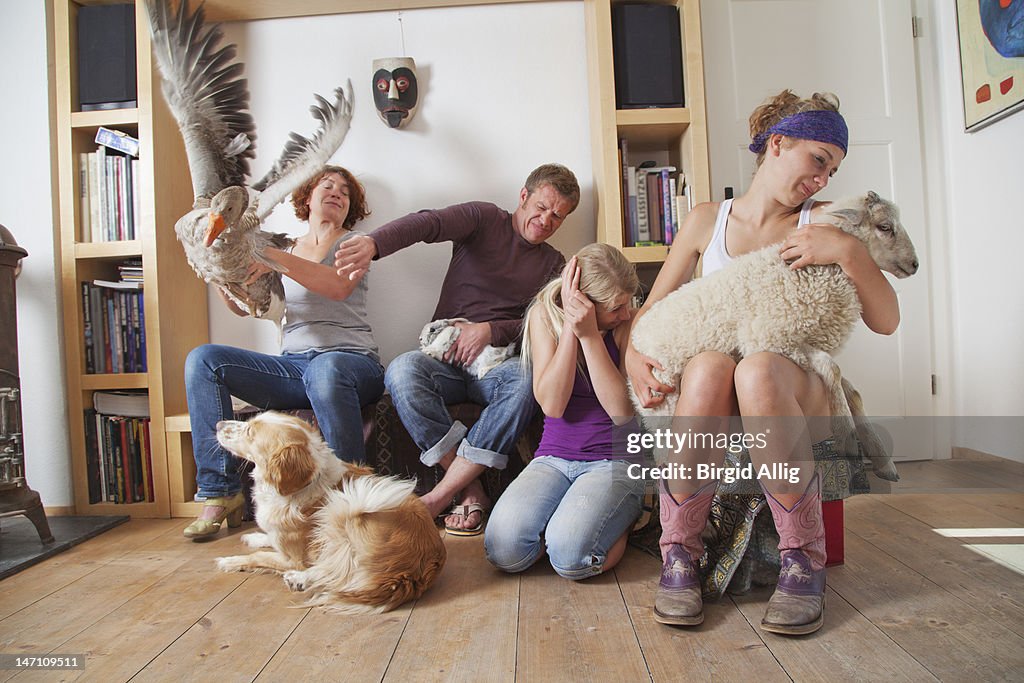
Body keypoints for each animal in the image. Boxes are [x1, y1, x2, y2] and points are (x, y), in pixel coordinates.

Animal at [211, 411, 444, 614]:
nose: (218, 424)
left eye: (250, 431)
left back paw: (299, 579)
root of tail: (410, 575)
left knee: (338, 570)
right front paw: (254, 537)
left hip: (345, 510)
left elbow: (259, 556)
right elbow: (269, 539)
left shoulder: (293, 559)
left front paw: (230, 561)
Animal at [630, 192, 921, 481]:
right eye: (885, 227)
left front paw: (882, 460)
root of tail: (636, 338)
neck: (818, 270)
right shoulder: (769, 337)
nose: (915, 265)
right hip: (664, 402)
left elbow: (852, 390)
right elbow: (833, 369)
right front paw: (847, 438)